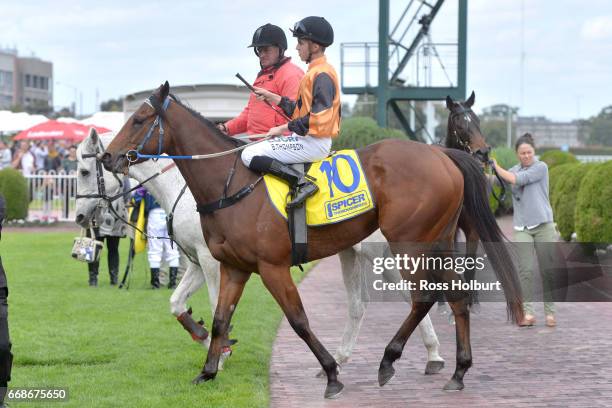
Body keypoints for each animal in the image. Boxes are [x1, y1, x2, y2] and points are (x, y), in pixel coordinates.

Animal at [103, 83, 524, 398]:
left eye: (139, 119)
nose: (108, 157)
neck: (230, 182)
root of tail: (444, 156)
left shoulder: (270, 267)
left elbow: (298, 319)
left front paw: (332, 373)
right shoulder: (233, 267)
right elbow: (221, 318)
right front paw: (208, 371)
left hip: (408, 244)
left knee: (424, 297)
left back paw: (391, 360)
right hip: (435, 241)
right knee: (454, 297)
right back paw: (458, 371)